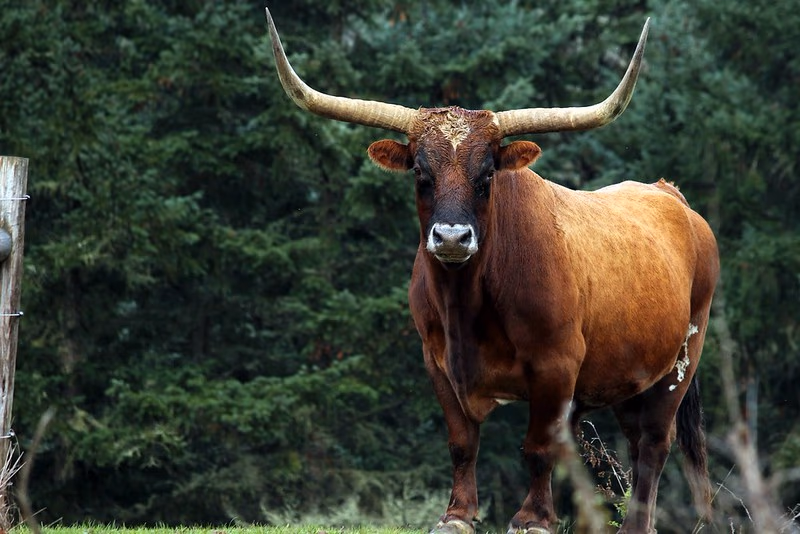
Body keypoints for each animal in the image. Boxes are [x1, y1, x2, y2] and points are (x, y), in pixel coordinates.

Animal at [265, 9, 719, 534]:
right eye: (420, 173)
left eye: (486, 177)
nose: (452, 238)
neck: (467, 305)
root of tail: (669, 193)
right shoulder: (437, 360)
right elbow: (462, 442)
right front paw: (458, 515)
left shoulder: (555, 366)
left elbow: (539, 448)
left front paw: (533, 518)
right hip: (629, 379)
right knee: (633, 442)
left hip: (680, 364)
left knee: (654, 447)